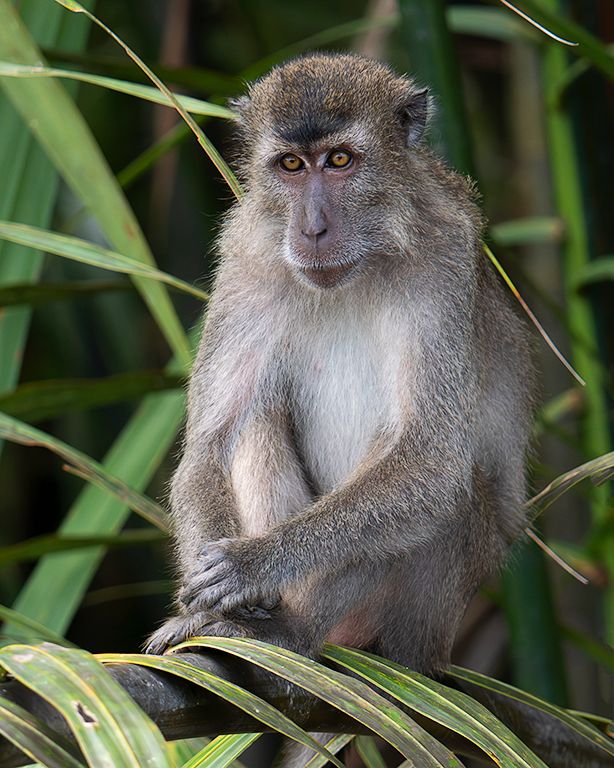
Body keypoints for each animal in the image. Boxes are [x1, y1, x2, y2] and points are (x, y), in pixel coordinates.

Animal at [145, 53, 535, 684]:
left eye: (341, 161)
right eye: (291, 165)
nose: (312, 229)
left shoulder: (445, 259)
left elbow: (429, 463)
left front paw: (254, 565)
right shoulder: (247, 259)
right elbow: (211, 445)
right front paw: (206, 596)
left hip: (422, 617)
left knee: (448, 489)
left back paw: (293, 632)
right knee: (255, 421)